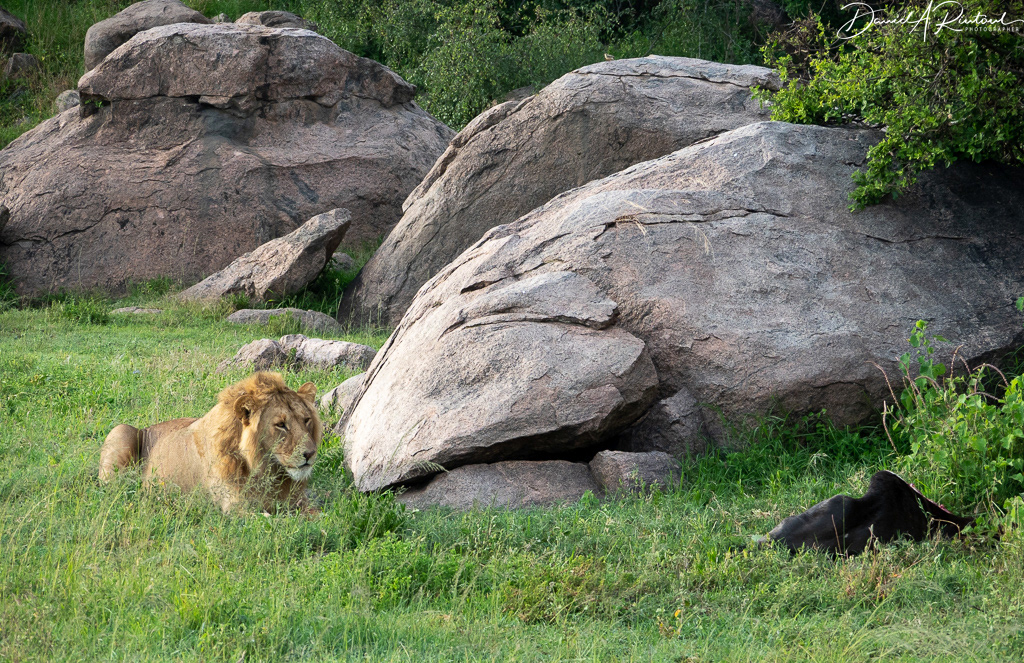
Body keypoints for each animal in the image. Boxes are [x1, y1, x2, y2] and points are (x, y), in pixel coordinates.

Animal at [99, 372, 322, 513]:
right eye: (281, 425)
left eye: (306, 420)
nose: (310, 454)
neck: (266, 469)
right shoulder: (236, 507)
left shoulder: (300, 502)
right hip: (121, 431)